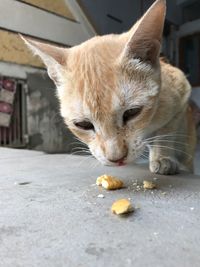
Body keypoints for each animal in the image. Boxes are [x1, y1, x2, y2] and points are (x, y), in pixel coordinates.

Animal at [21, 0, 196, 176]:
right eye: (83, 124)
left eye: (132, 112)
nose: (116, 158)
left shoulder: (181, 91)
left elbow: (166, 131)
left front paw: (162, 157)